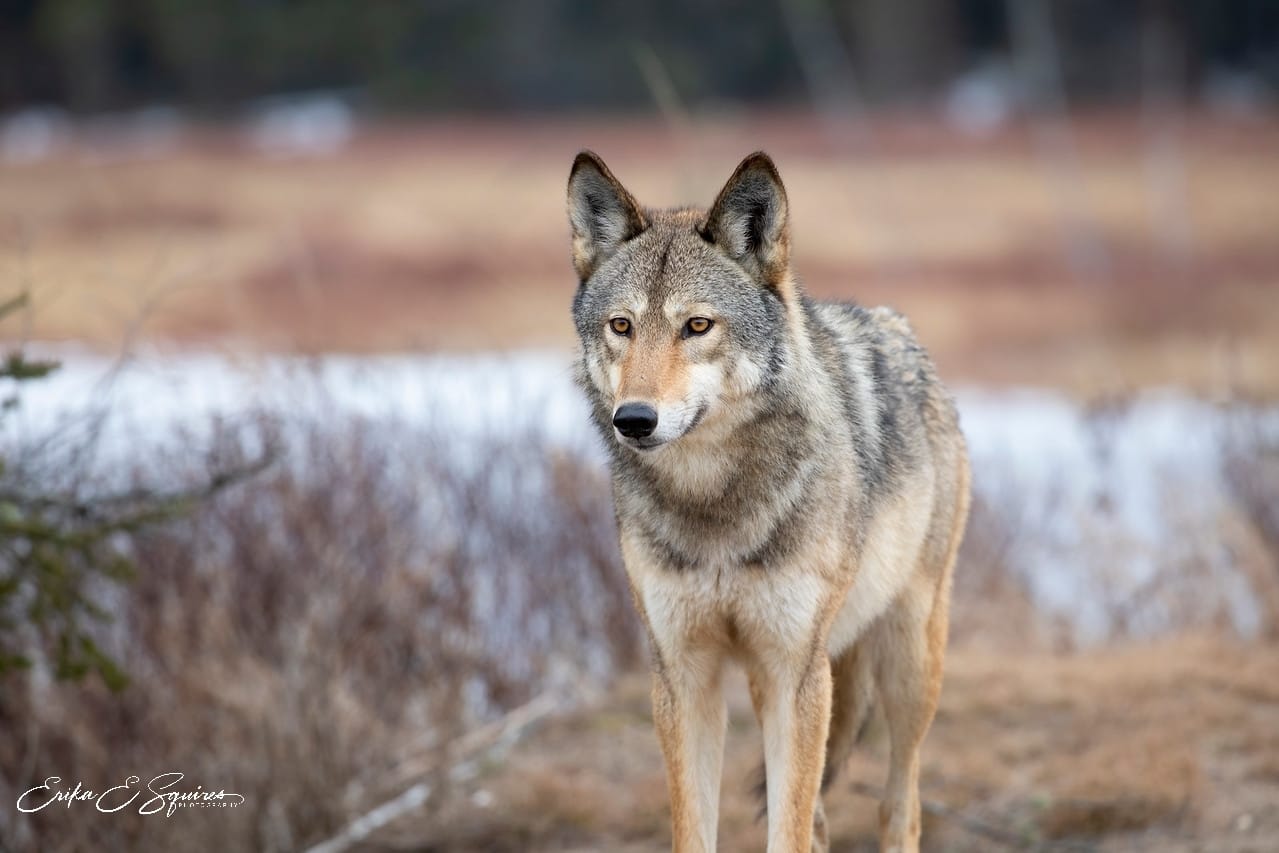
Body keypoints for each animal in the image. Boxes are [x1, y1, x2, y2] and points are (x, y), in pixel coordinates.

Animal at [567, 150, 970, 853]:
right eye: (621, 326)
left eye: (697, 326)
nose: (634, 420)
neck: (714, 505)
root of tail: (897, 326)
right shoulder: (683, 675)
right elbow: (697, 830)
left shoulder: (794, 671)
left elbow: (791, 828)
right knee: (820, 817)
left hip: (908, 662)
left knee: (901, 803)